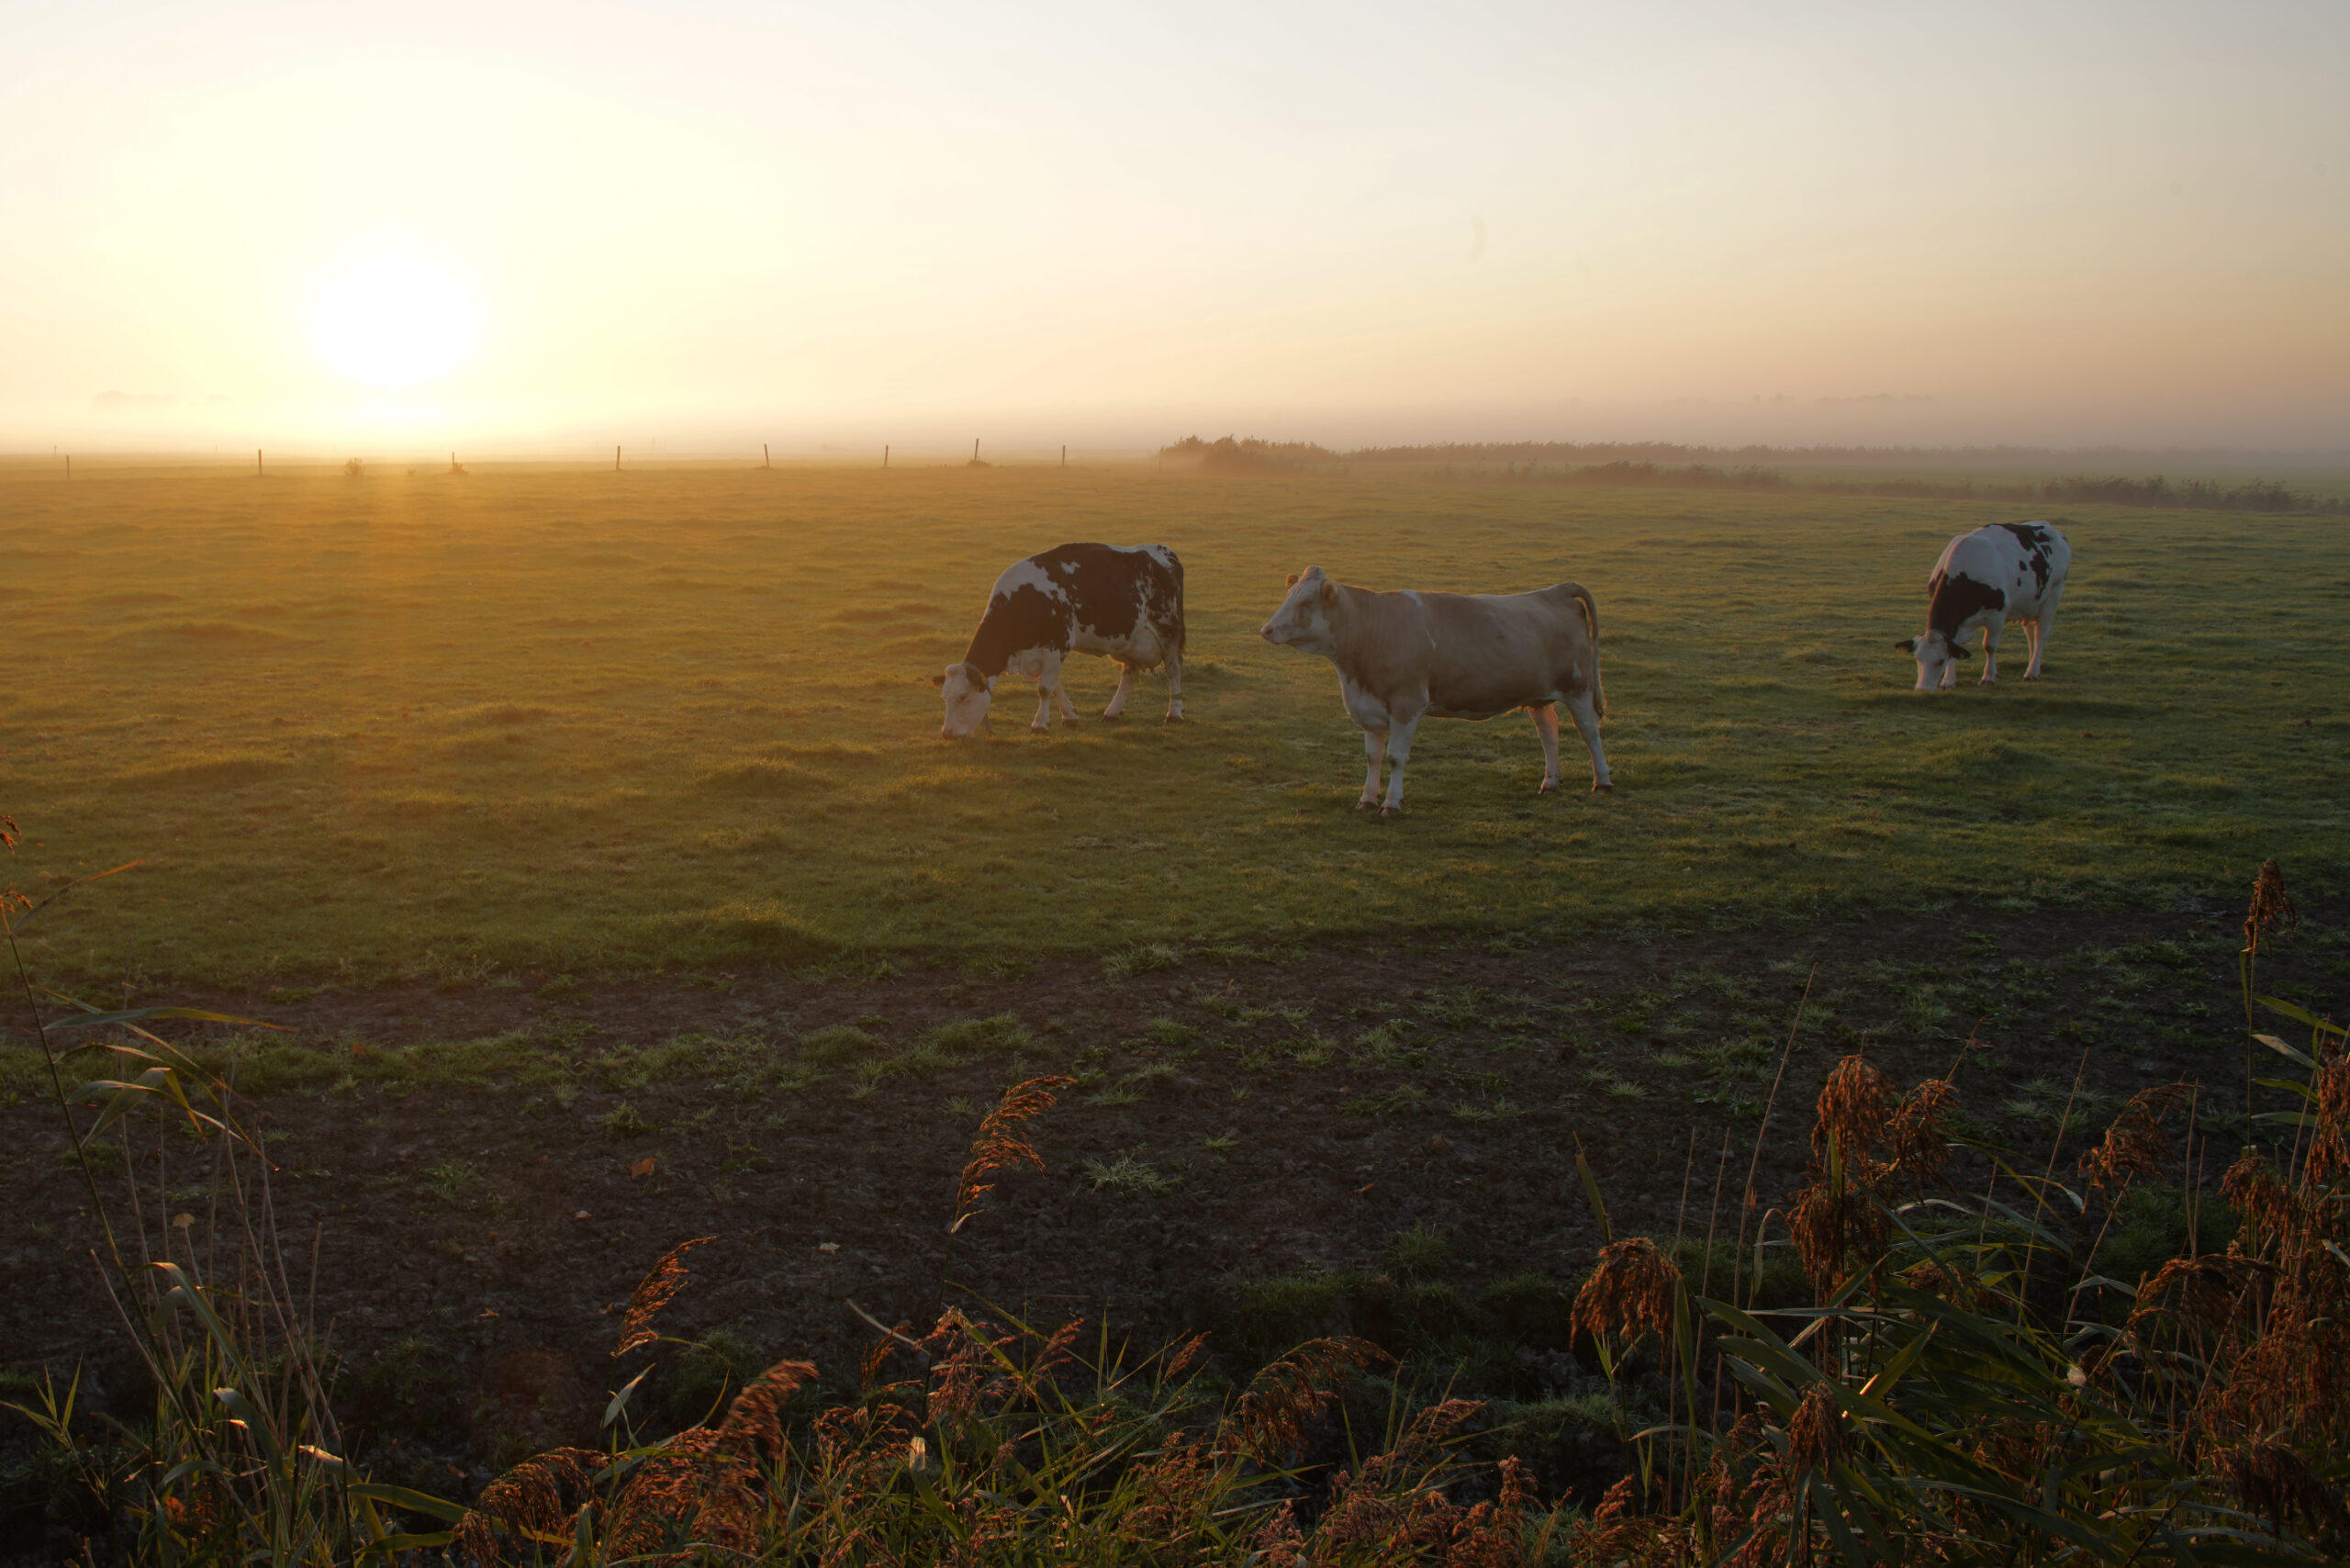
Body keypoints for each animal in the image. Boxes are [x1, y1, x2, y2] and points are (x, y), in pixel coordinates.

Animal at [930, 543, 1184, 738]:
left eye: (963, 697)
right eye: (944, 697)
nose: (947, 733)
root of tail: (1163, 550)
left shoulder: (1057, 645)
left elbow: (1045, 688)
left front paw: (1039, 724)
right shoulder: (1040, 653)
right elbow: (1054, 686)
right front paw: (1069, 716)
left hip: (1170, 631)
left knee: (1173, 671)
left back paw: (1174, 714)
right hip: (1130, 640)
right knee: (1129, 673)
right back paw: (1112, 712)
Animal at [1259, 573, 1607, 823]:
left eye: (1305, 602)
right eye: (1288, 596)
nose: (1267, 630)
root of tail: (1554, 591)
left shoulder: (1406, 705)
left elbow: (1395, 757)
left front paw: (1391, 804)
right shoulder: (1370, 711)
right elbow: (1373, 757)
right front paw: (1367, 799)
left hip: (1579, 687)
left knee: (1590, 732)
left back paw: (1602, 780)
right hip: (1539, 695)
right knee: (1549, 733)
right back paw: (1550, 782)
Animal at [1889, 524, 2077, 690]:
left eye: (1940, 661)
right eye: (1917, 659)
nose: (1922, 689)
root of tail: (2056, 532)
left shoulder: (1997, 617)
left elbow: (1989, 646)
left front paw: (1988, 677)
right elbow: (1955, 646)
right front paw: (1949, 681)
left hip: (2052, 595)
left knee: (2041, 635)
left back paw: (2031, 672)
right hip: (2030, 604)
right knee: (2031, 634)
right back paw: (2033, 665)